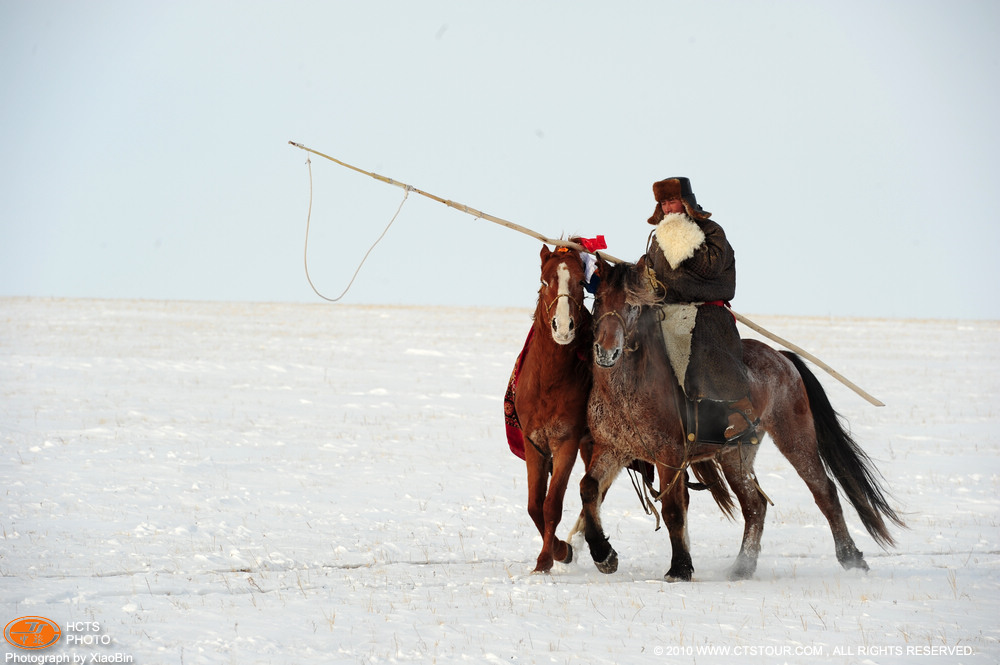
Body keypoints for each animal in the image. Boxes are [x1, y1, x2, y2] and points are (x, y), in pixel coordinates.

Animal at [584, 260, 904, 580]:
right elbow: (589, 488)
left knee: (824, 491)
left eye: (632, 307)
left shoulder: (670, 455)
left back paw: (851, 557)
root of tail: (782, 358)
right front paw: (604, 555)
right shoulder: (612, 449)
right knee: (755, 505)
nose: (606, 351)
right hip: (736, 453)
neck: (631, 389)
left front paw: (680, 568)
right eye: (598, 300)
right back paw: (742, 566)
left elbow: (673, 509)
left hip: (794, 437)